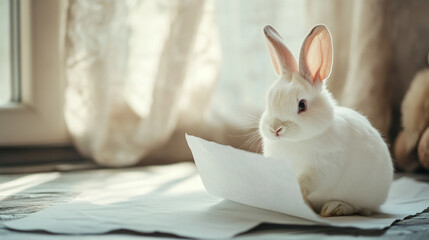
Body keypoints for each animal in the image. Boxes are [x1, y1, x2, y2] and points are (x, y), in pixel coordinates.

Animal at [260, 25, 392, 217]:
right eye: (268, 101)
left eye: (302, 105)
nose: (275, 128)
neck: (294, 142)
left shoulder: (323, 167)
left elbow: (305, 182)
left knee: (359, 208)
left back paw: (334, 208)